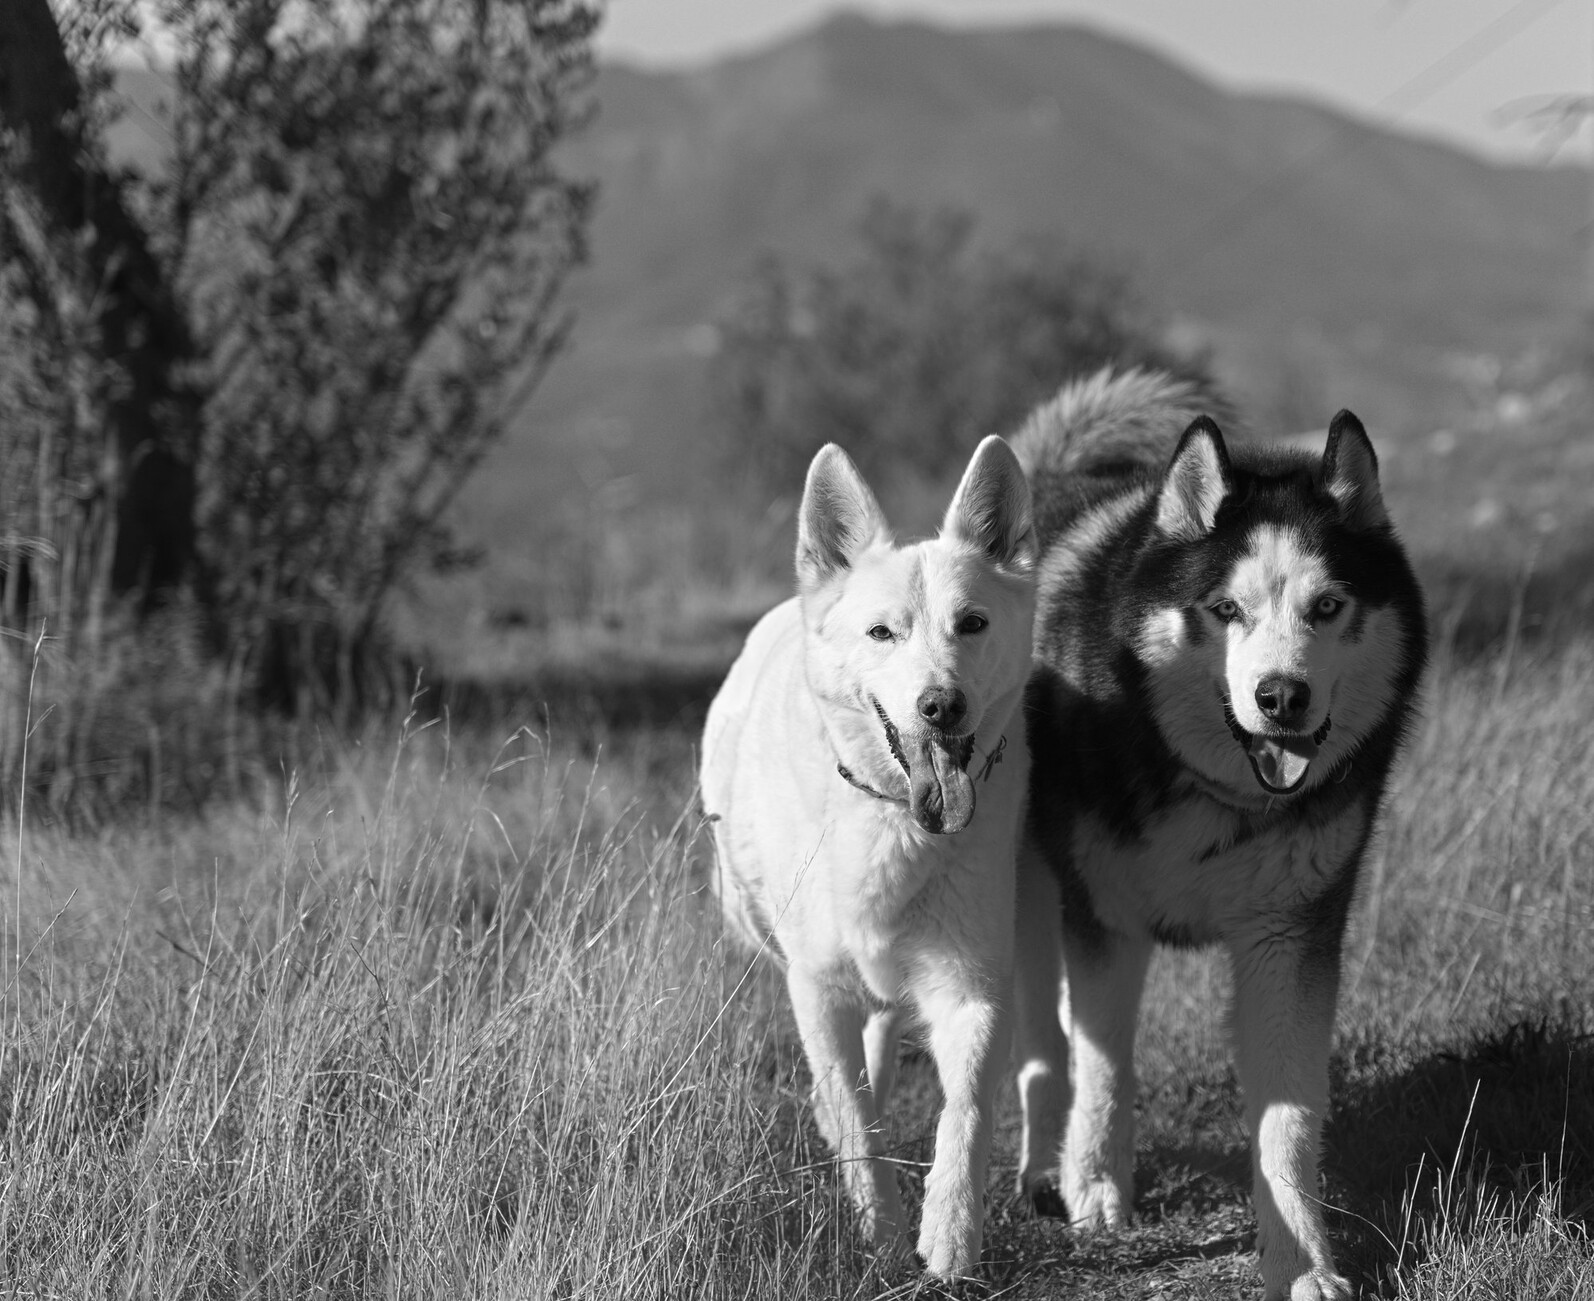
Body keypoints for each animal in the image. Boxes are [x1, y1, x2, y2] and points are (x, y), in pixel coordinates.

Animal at [698, 440, 1032, 1281]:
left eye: (971, 624)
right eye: (884, 633)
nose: (941, 706)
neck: (892, 822)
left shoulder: (975, 985)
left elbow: (966, 1110)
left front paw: (949, 1237)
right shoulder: (816, 988)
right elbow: (851, 1119)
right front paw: (878, 1236)